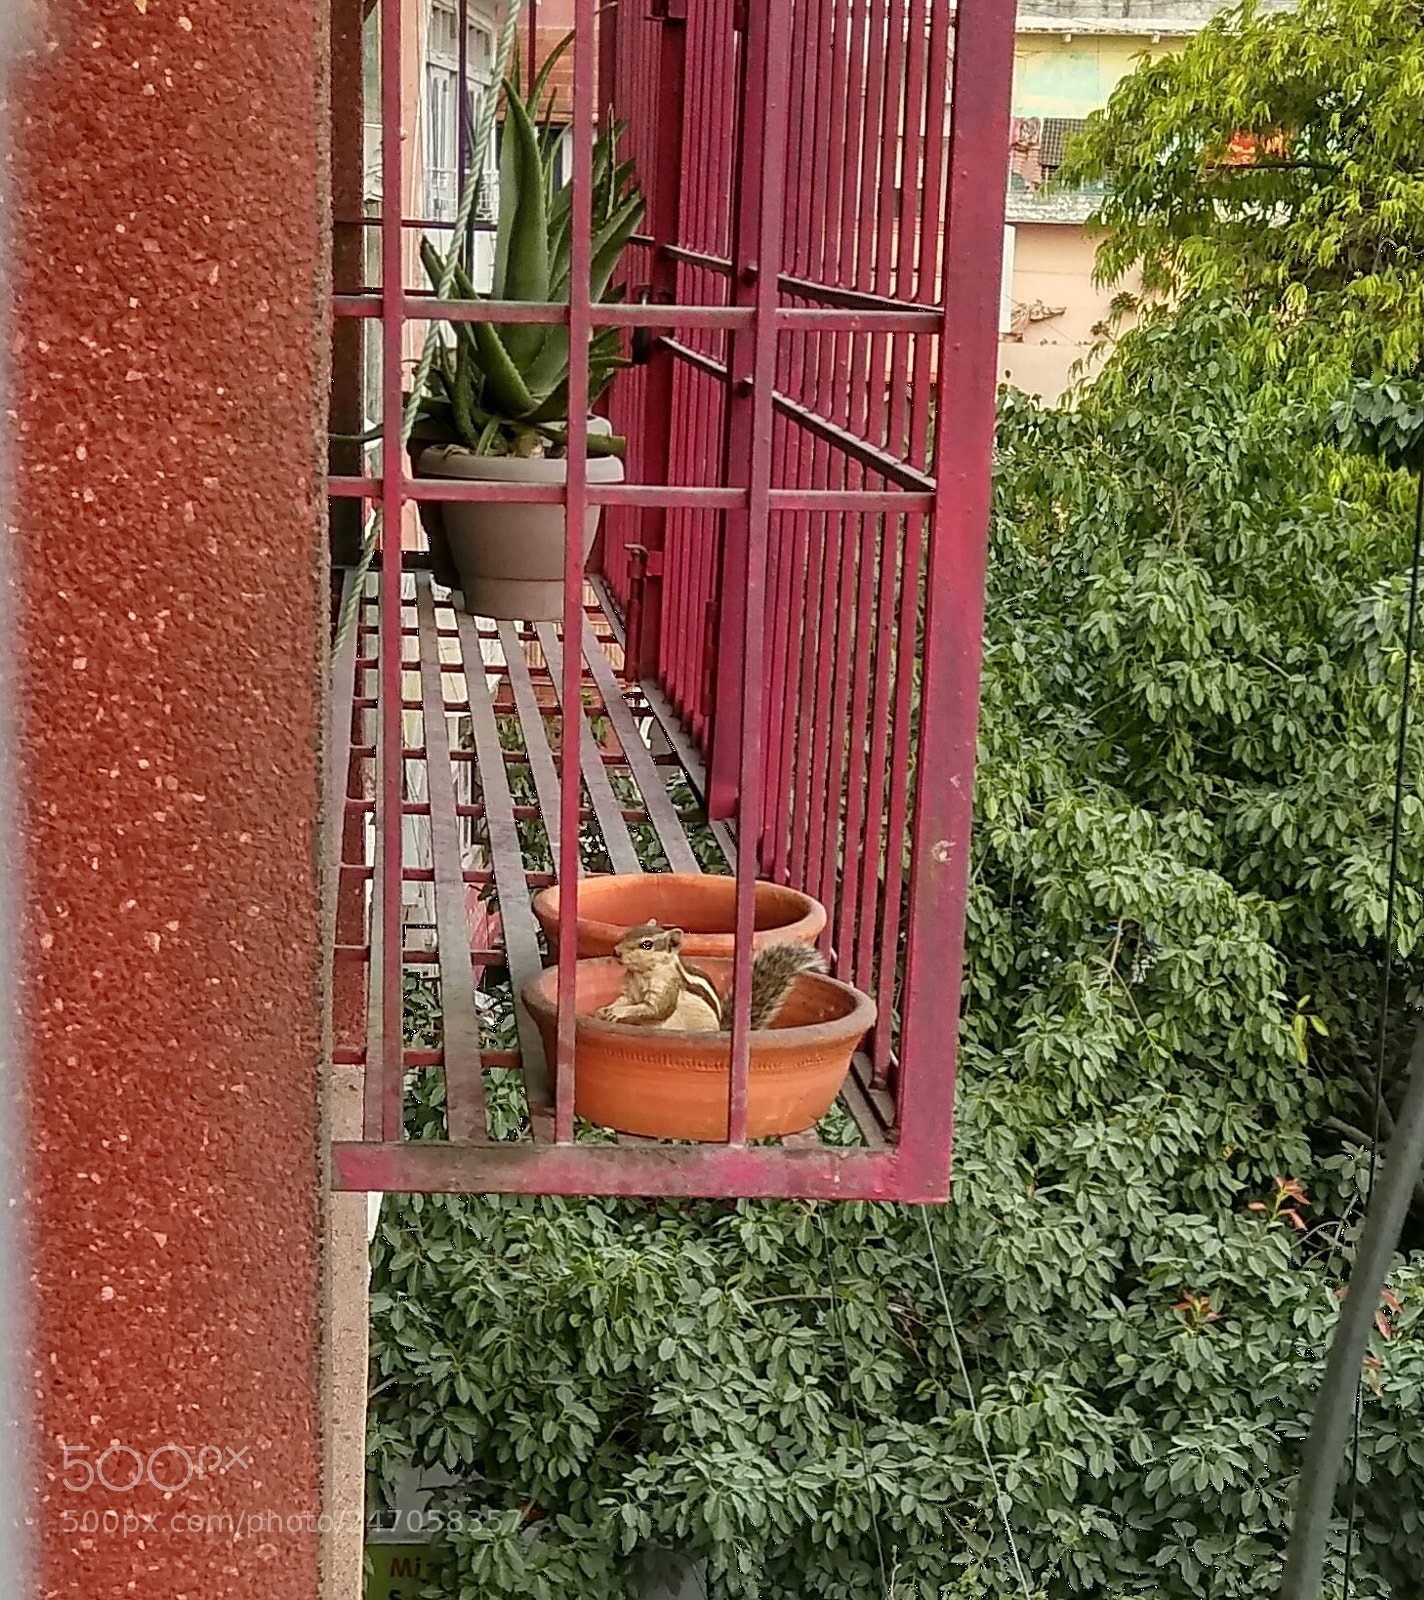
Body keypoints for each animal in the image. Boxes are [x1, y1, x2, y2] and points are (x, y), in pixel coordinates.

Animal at [593, 920, 826, 1033]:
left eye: (646, 945)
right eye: (627, 932)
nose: (616, 952)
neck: (641, 974)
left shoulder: (666, 989)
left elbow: (654, 1009)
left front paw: (620, 1012)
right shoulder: (629, 990)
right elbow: (624, 1000)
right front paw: (606, 1009)